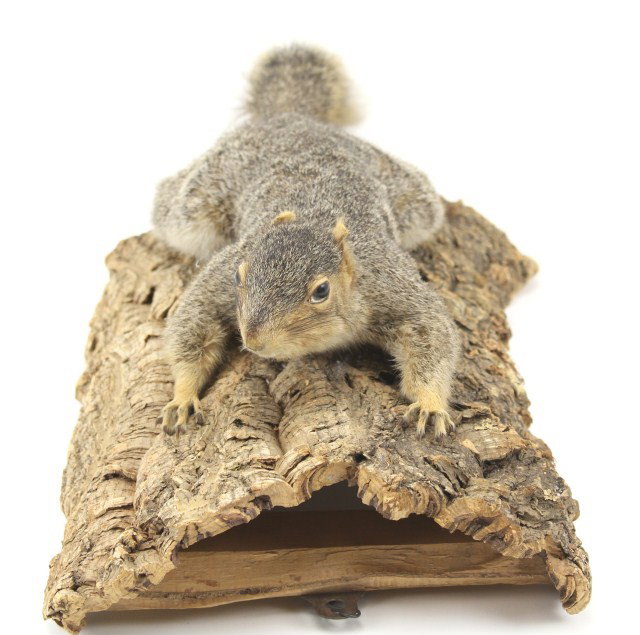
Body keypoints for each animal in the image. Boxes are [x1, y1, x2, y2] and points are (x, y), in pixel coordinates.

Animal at [152, 44, 459, 438]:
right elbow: (192, 325)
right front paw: (183, 396)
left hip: (413, 200)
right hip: (195, 203)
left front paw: (430, 405)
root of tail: (293, 117)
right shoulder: (219, 281)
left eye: (321, 292)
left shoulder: (392, 288)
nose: (254, 341)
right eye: (238, 277)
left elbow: (432, 337)